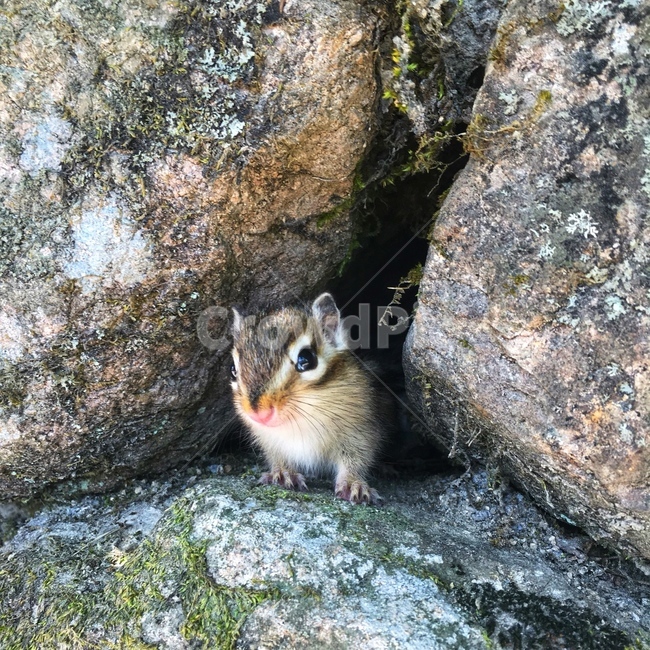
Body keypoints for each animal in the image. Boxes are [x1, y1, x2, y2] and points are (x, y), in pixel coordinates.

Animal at [230, 293, 383, 504]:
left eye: (306, 359)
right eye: (233, 370)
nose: (259, 414)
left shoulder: (360, 433)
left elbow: (355, 460)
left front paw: (354, 485)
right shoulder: (269, 440)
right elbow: (278, 457)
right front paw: (283, 473)